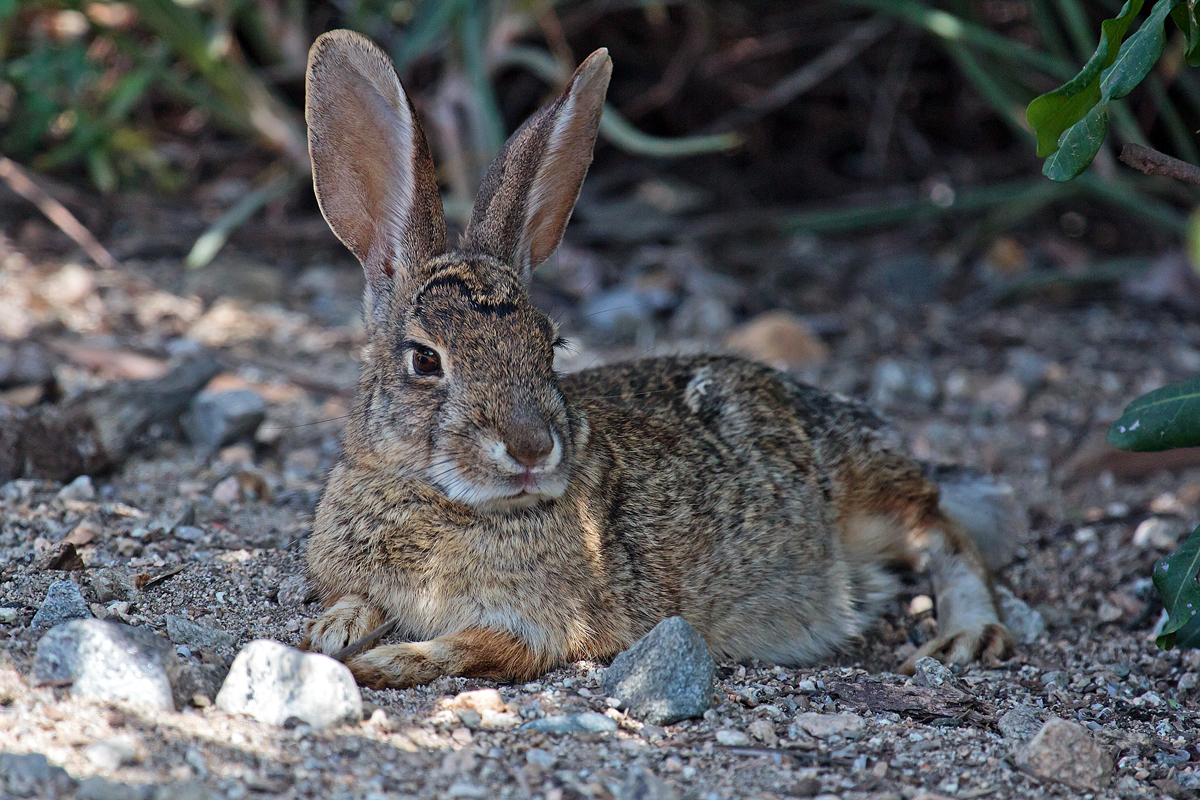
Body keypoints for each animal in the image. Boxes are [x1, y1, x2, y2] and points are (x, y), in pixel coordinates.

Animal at [300, 30, 1014, 689]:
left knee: (941, 528)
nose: (531, 449)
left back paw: (966, 633)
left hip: (869, 502)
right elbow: (357, 603)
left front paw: (382, 661)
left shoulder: (543, 627)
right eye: (425, 360)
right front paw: (329, 633)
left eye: (549, 347)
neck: (441, 499)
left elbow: (466, 648)